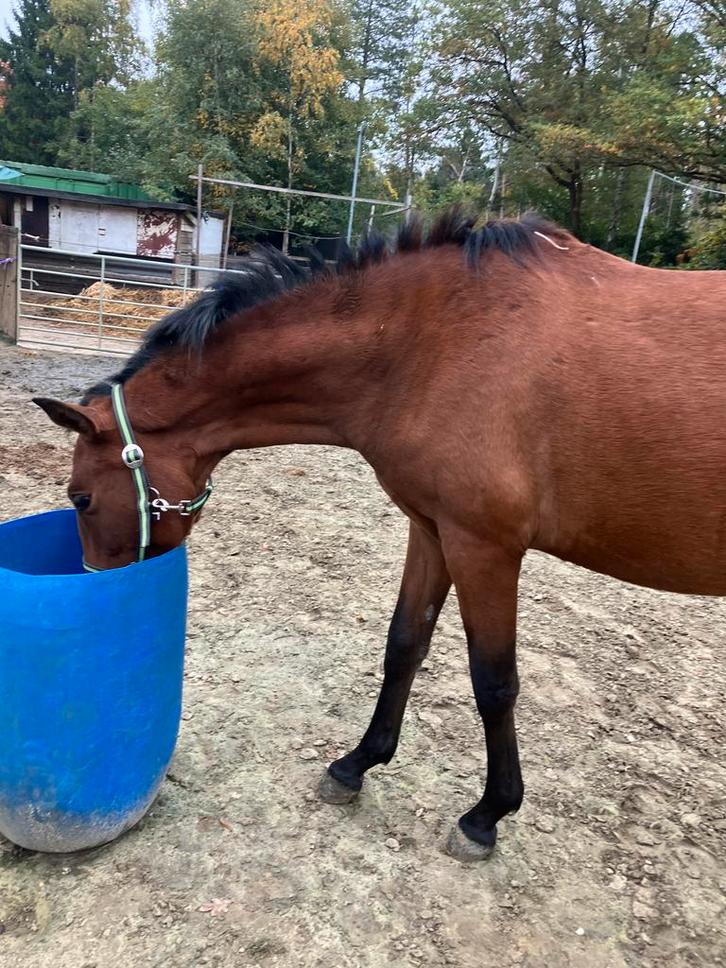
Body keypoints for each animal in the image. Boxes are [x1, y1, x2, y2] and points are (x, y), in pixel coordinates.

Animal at [34, 208, 726, 862]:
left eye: (81, 498)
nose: (95, 587)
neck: (435, 339)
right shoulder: (434, 531)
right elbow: (404, 645)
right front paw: (356, 765)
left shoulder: (484, 547)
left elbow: (494, 682)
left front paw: (487, 816)